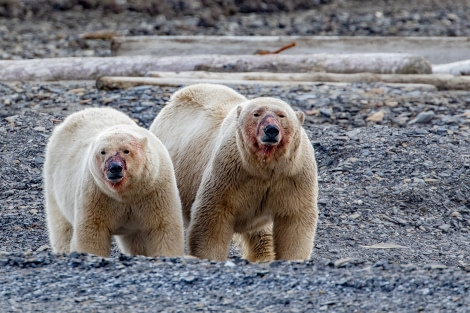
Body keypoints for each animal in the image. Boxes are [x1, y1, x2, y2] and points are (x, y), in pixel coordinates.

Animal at [43, 107, 184, 256]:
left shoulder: (154, 192)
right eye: (102, 152)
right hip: (54, 180)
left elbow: (163, 227)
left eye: (126, 150)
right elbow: (91, 230)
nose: (114, 167)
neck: (126, 193)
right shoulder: (96, 195)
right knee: (62, 226)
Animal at [150, 83, 320, 260]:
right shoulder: (230, 172)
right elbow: (213, 215)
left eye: (282, 115)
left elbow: (294, 217)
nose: (271, 130)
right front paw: (210, 255)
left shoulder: (293, 175)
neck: (264, 167)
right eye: (256, 114)